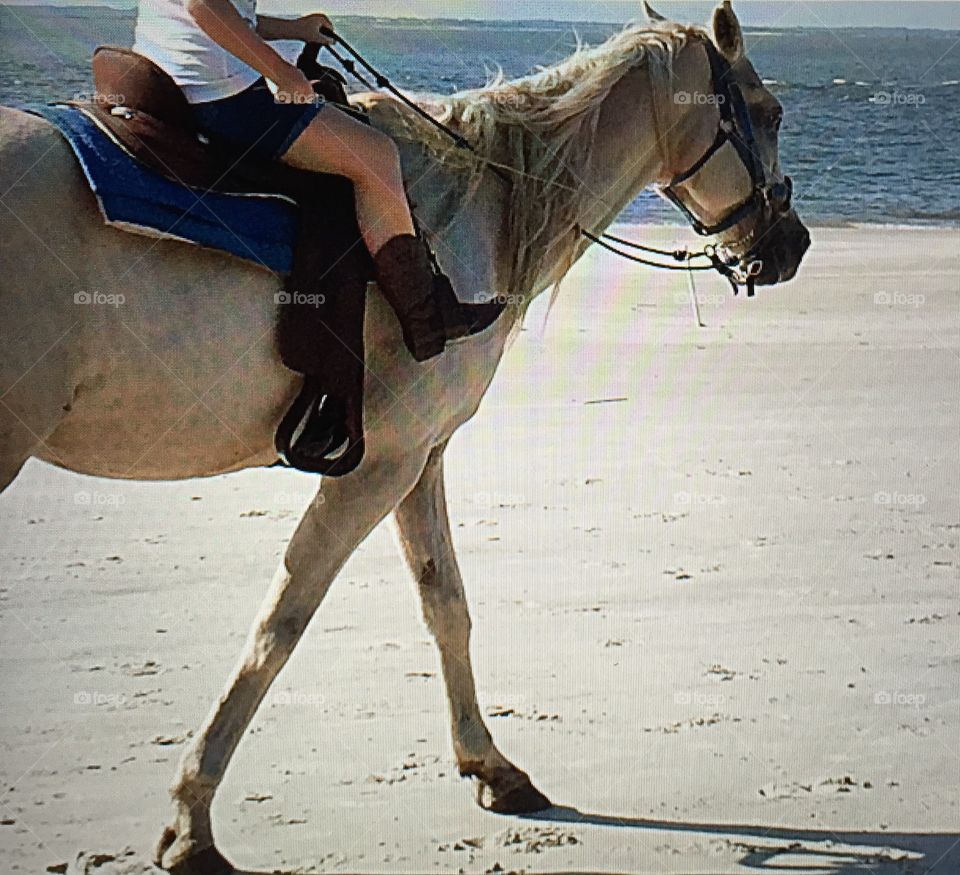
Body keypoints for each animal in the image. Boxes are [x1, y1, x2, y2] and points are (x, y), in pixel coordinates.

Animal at [0, 3, 809, 872]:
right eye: (769, 113)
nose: (792, 244)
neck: (482, 204)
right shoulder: (378, 466)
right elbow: (280, 626)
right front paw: (191, 822)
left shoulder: (422, 456)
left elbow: (446, 603)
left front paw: (491, 765)